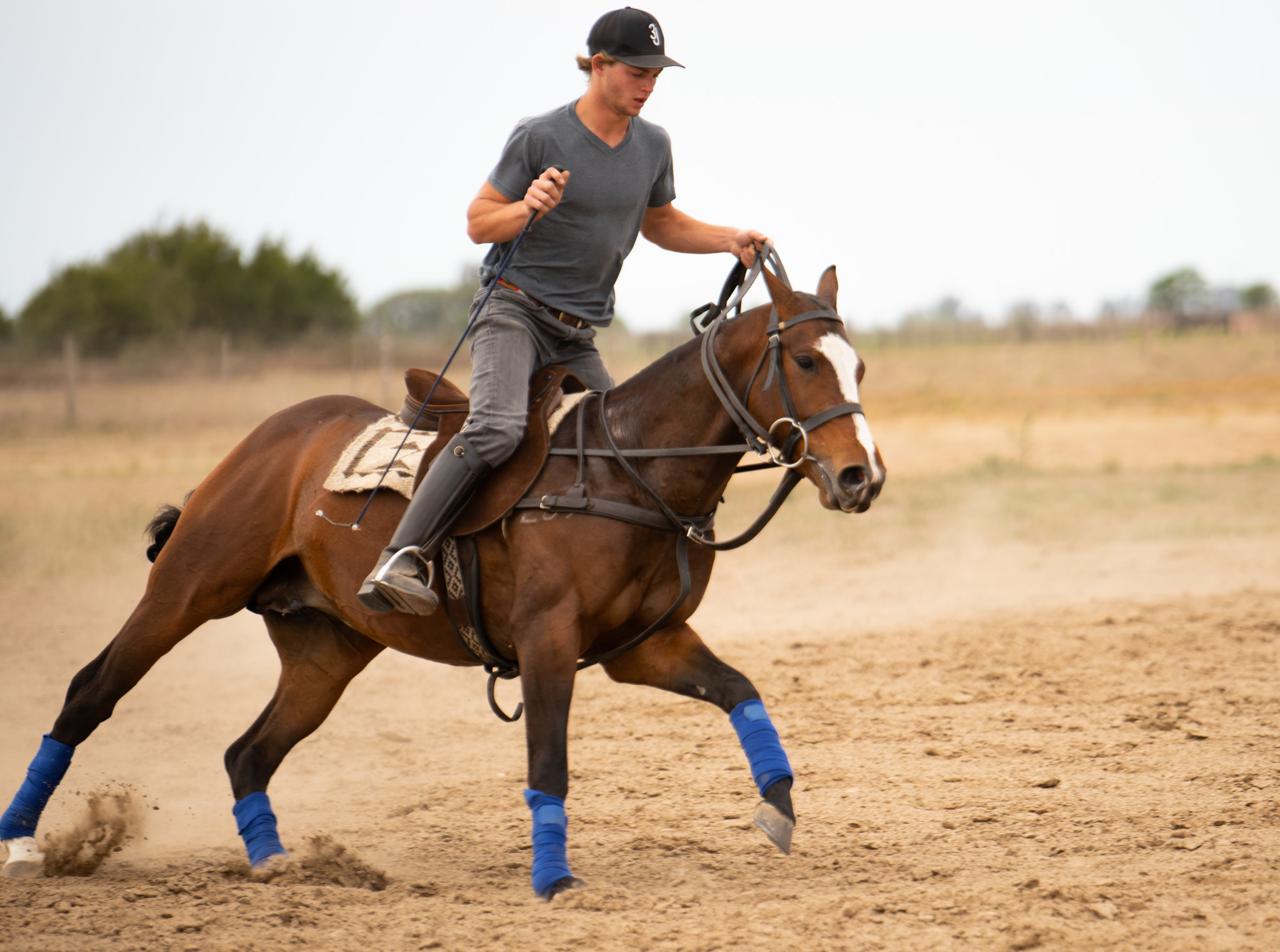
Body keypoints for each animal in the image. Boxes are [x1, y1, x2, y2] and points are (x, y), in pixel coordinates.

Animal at [0, 259, 885, 898]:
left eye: (862, 365)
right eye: (806, 359)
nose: (860, 477)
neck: (625, 470)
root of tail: (269, 437)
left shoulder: (646, 645)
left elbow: (740, 691)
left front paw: (778, 804)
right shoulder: (549, 640)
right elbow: (548, 759)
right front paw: (553, 879)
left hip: (325, 652)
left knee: (247, 754)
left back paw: (279, 863)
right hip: (187, 590)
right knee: (90, 693)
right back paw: (21, 843)